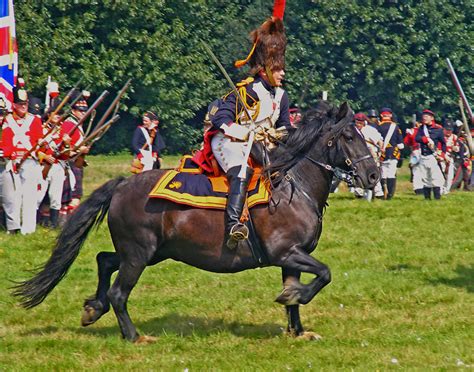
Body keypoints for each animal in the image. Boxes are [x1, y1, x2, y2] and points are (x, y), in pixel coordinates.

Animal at [12, 101, 380, 342]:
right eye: (349, 136)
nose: (373, 175)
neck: (293, 185)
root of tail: (122, 184)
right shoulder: (286, 252)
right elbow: (323, 275)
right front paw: (294, 299)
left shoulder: (292, 256)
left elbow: (298, 289)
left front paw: (298, 328)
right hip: (139, 254)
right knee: (119, 291)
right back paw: (133, 336)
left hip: (150, 252)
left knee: (104, 261)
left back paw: (93, 309)